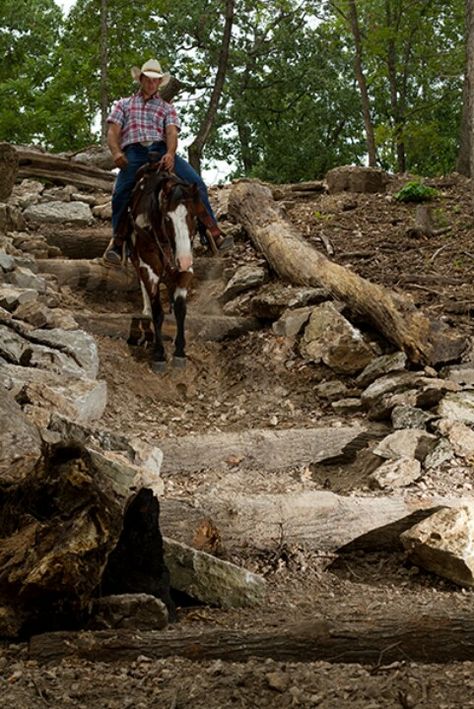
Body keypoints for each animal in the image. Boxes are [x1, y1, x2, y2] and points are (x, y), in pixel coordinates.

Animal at [124, 164, 213, 374]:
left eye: (193, 215)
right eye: (167, 218)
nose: (183, 260)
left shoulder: (186, 267)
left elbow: (181, 308)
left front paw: (180, 352)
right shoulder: (148, 267)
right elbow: (157, 312)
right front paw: (158, 355)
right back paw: (146, 308)